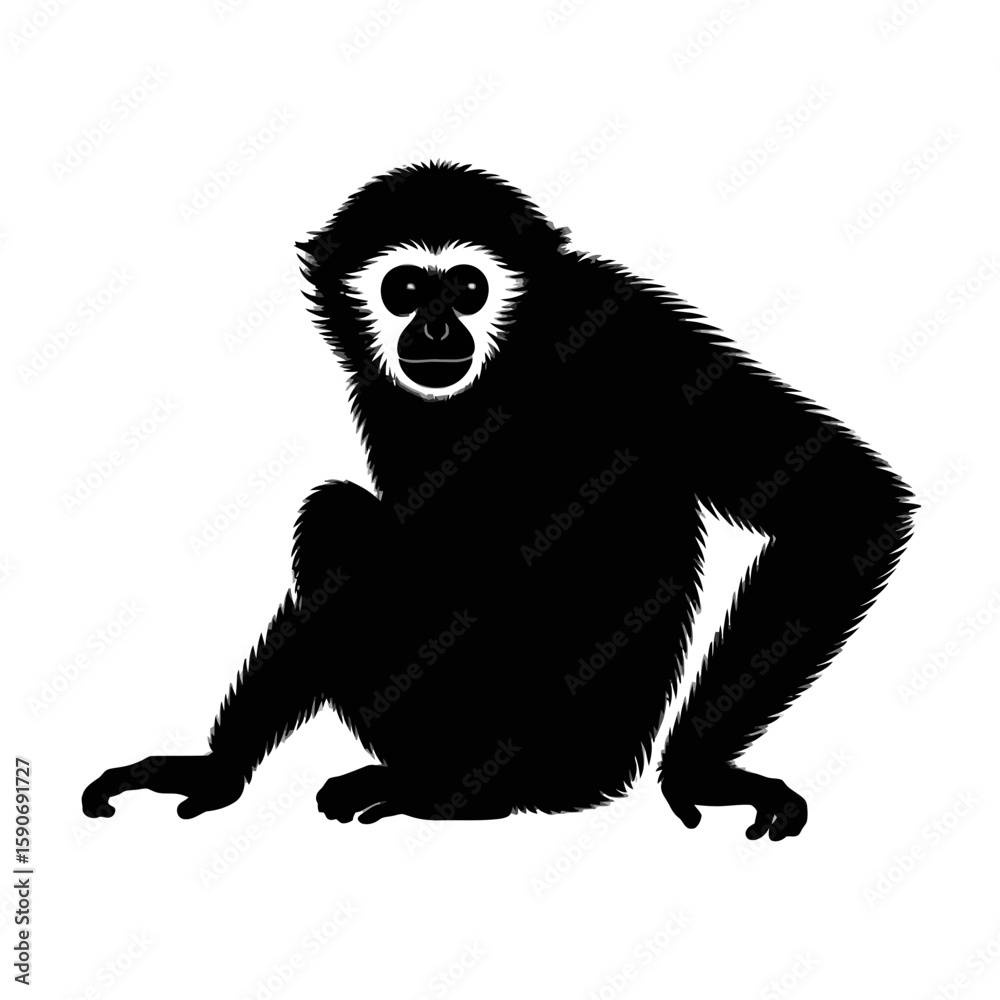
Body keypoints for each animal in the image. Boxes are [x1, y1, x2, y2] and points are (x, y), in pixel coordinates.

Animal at [83, 161, 914, 841]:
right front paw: (217, 766)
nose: (436, 327)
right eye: (405, 289)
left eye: (469, 288)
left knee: (340, 520)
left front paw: (701, 775)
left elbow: (845, 502)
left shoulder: (622, 322)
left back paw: (452, 795)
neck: (511, 358)